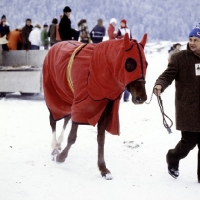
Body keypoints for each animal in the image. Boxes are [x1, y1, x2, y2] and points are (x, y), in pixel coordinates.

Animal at [43, 32, 148, 180]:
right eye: (130, 64)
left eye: (146, 64)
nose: (141, 98)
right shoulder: (81, 105)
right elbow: (72, 137)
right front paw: (61, 157)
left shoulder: (104, 108)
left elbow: (101, 139)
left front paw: (103, 169)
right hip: (54, 94)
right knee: (53, 120)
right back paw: (54, 147)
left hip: (67, 98)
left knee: (66, 118)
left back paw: (58, 143)